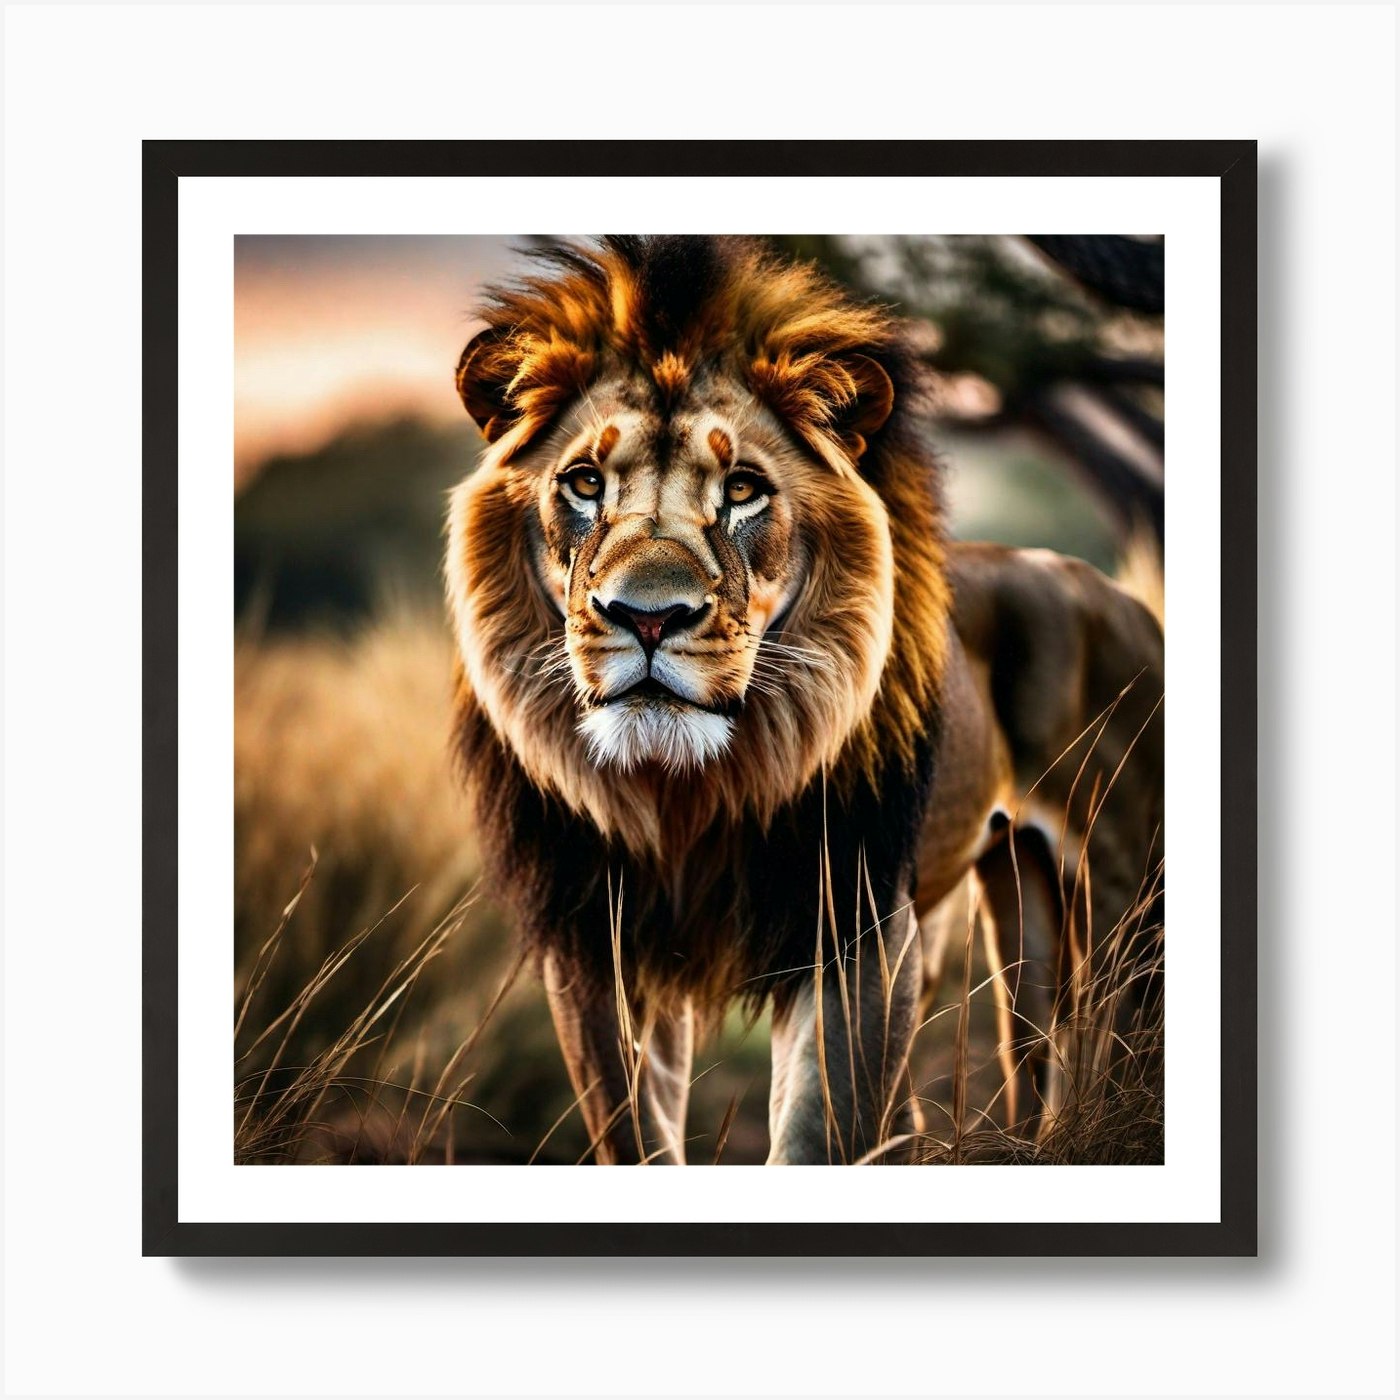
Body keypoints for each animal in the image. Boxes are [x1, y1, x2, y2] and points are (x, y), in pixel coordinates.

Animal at [446, 236, 1163, 1164]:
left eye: (743, 489)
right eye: (583, 483)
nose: (648, 617)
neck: (683, 794)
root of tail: (1123, 598)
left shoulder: (855, 928)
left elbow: (818, 1131)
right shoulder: (591, 946)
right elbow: (636, 1133)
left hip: (1119, 898)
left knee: (1111, 1050)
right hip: (1018, 890)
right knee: (1030, 1051)